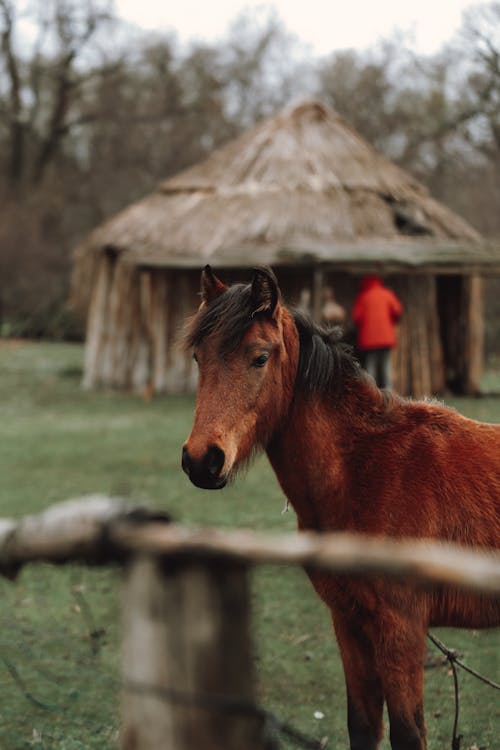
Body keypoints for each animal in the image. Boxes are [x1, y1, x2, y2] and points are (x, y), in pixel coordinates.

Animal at [183, 266, 500, 750]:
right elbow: (363, 726)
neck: (367, 468)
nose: (202, 460)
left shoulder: (401, 629)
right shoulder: (350, 623)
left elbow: (407, 733)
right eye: (199, 358)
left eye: (260, 357)